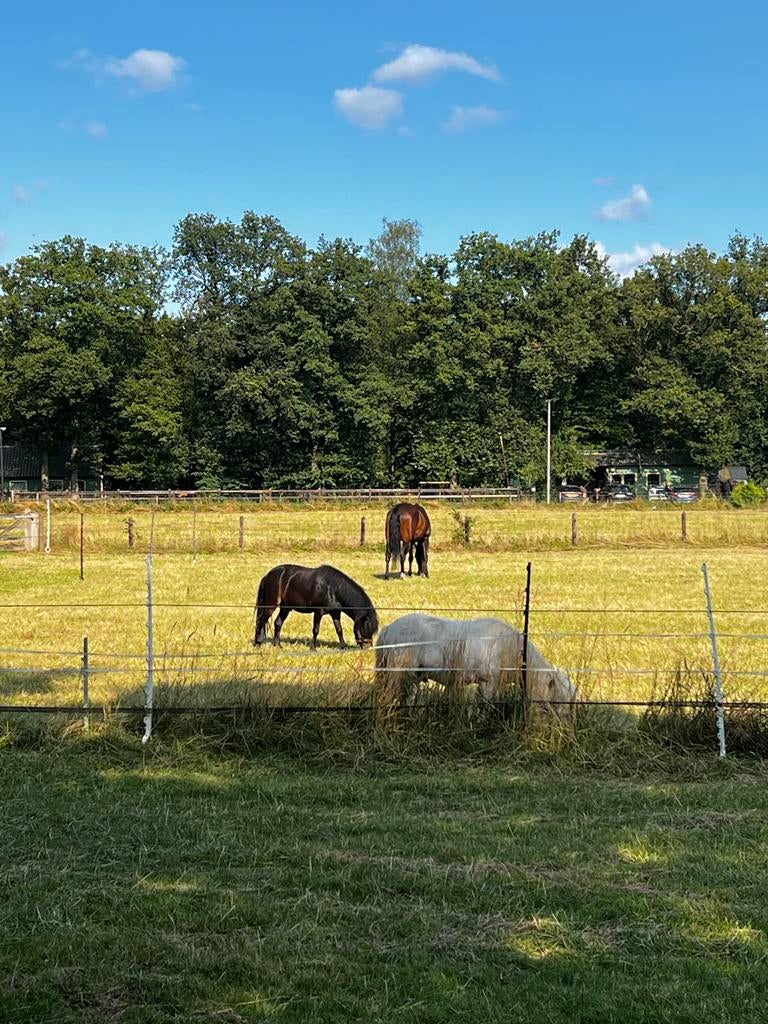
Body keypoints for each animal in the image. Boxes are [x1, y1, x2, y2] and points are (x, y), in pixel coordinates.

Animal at [374, 613, 577, 712]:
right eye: (559, 697)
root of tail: (389, 628)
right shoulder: (488, 682)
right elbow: (485, 707)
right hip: (395, 671)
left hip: (413, 675)